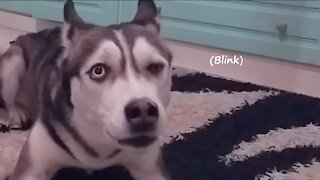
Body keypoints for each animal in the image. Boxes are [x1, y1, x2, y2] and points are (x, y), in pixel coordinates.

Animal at [0, 0, 172, 179]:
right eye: (98, 71)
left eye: (155, 67)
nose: (143, 110)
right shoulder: (32, 166)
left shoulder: (151, 168)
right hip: (14, 61)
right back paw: (16, 112)